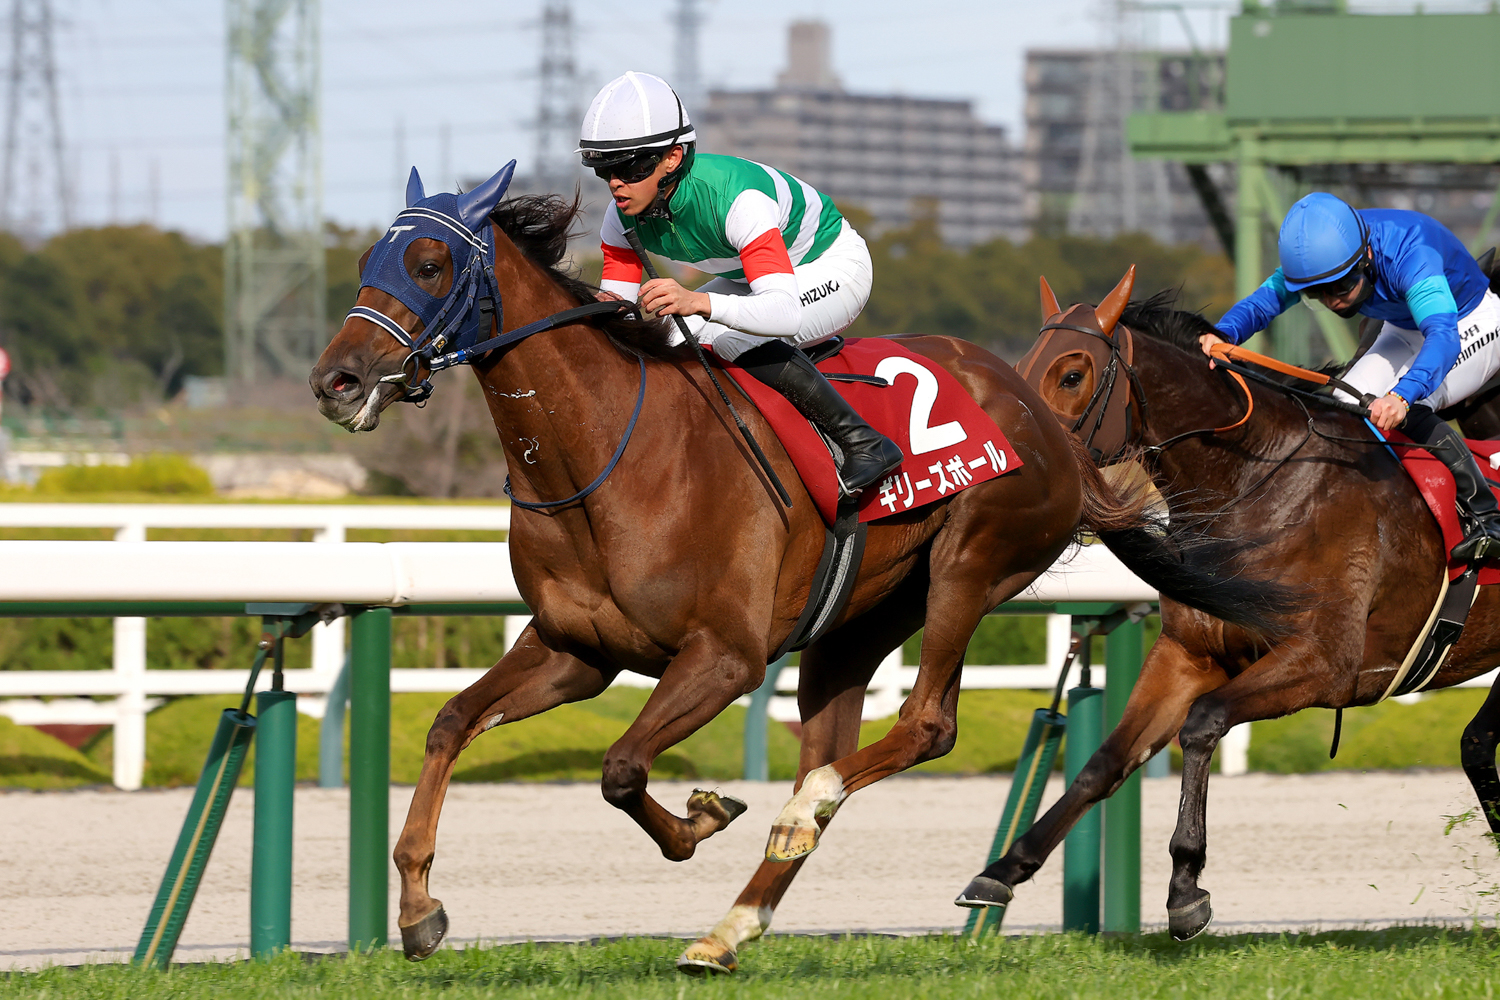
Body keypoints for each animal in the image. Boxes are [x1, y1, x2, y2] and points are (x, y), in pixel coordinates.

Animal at [309, 169, 1292, 972]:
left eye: (431, 262)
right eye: (365, 258)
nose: (337, 381)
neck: (606, 455)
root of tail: (1043, 415)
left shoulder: (725, 657)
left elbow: (622, 767)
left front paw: (703, 818)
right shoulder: (573, 652)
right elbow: (449, 724)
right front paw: (418, 907)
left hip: (971, 564)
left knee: (923, 725)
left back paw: (795, 822)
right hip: (855, 625)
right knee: (831, 756)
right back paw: (732, 924)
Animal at [955, 270, 1500, 941]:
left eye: (1073, 374)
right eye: (1020, 367)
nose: (1020, 460)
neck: (1258, 484)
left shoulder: (1324, 663)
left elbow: (1203, 721)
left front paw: (1186, 886)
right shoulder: (1188, 654)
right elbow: (1105, 760)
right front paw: (1002, 870)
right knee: (1476, 743)